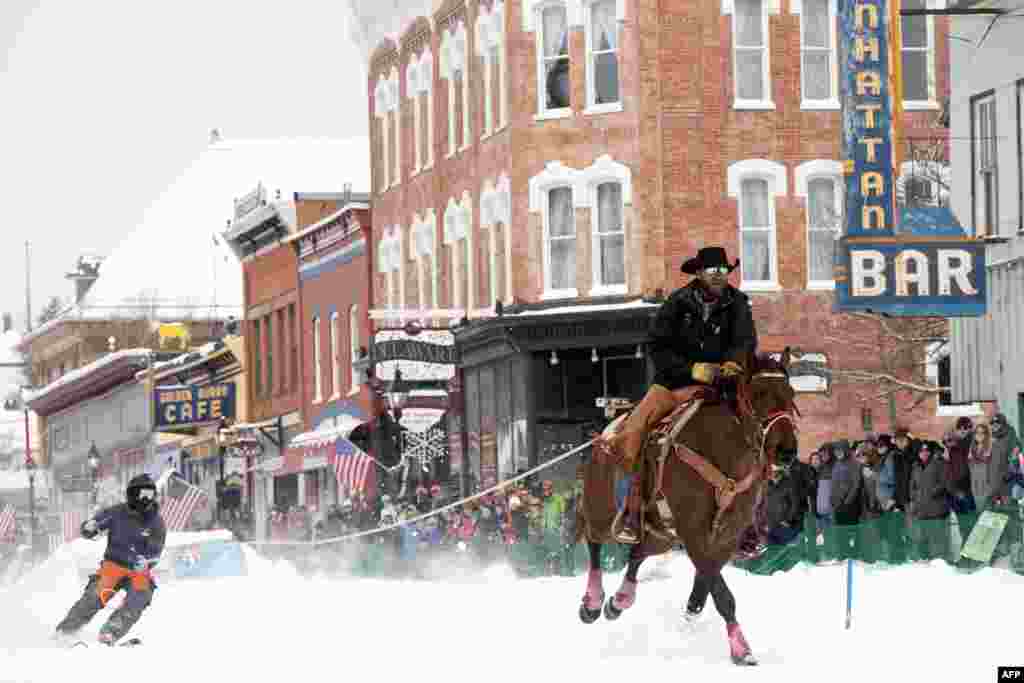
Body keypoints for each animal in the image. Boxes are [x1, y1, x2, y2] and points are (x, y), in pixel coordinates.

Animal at [577, 352, 798, 667]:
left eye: (791, 394)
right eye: (758, 394)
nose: (786, 451)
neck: (722, 450)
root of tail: (605, 438)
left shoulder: (728, 533)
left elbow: (709, 577)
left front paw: (694, 607)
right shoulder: (693, 531)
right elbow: (721, 591)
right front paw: (741, 649)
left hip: (661, 534)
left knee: (637, 554)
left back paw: (620, 600)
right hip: (601, 511)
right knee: (594, 542)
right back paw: (593, 602)